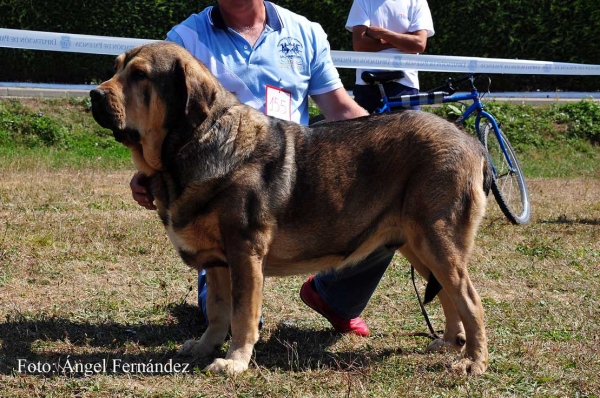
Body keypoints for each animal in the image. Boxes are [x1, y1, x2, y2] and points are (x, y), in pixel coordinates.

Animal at [90, 42, 492, 374]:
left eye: (140, 75)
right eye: (116, 68)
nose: (94, 94)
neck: (194, 143)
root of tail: (471, 141)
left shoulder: (244, 253)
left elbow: (243, 314)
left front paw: (235, 362)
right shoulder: (218, 261)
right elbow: (218, 312)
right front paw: (205, 348)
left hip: (436, 240)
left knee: (469, 299)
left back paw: (473, 361)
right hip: (417, 245)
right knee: (448, 295)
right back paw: (450, 343)